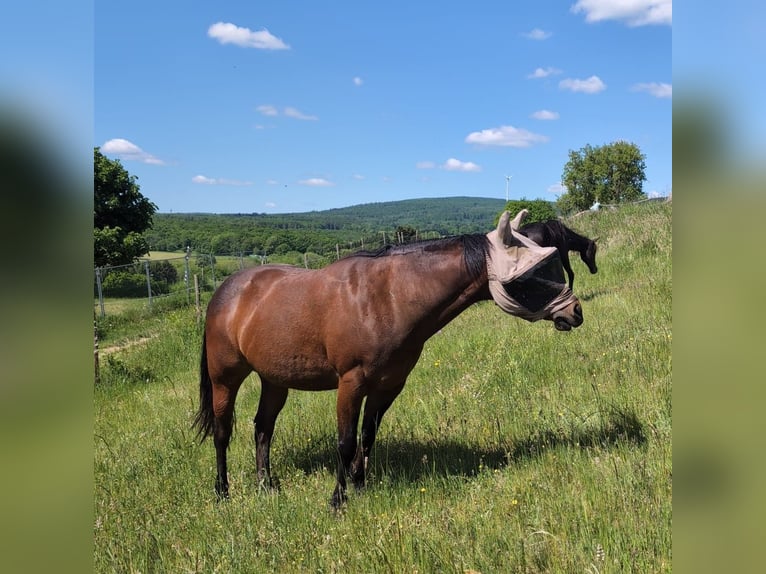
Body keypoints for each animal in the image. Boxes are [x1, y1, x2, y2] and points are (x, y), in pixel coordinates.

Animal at [193, 210, 584, 509]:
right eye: (533, 274)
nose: (575, 312)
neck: (387, 299)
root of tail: (224, 294)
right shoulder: (350, 383)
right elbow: (346, 442)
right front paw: (338, 500)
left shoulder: (388, 385)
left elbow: (367, 436)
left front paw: (360, 485)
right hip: (224, 378)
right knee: (223, 432)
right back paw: (222, 492)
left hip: (274, 379)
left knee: (263, 428)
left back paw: (266, 485)